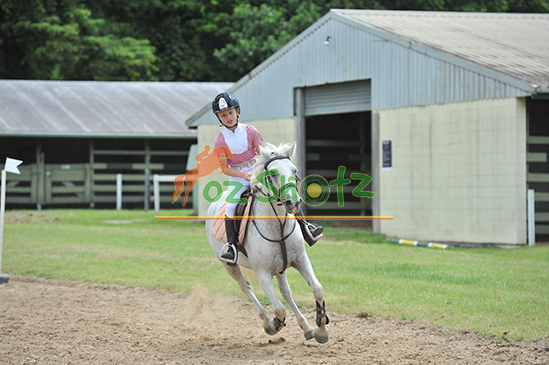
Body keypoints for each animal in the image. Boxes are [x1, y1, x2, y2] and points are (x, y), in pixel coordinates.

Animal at [204, 141, 326, 342]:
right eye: (274, 173)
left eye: (294, 170)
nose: (293, 203)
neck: (279, 226)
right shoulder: (262, 273)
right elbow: (279, 309)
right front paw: (274, 325)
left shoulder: (300, 260)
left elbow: (317, 289)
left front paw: (321, 330)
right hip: (229, 265)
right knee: (246, 287)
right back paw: (267, 321)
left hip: (281, 267)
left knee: (285, 291)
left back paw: (306, 327)